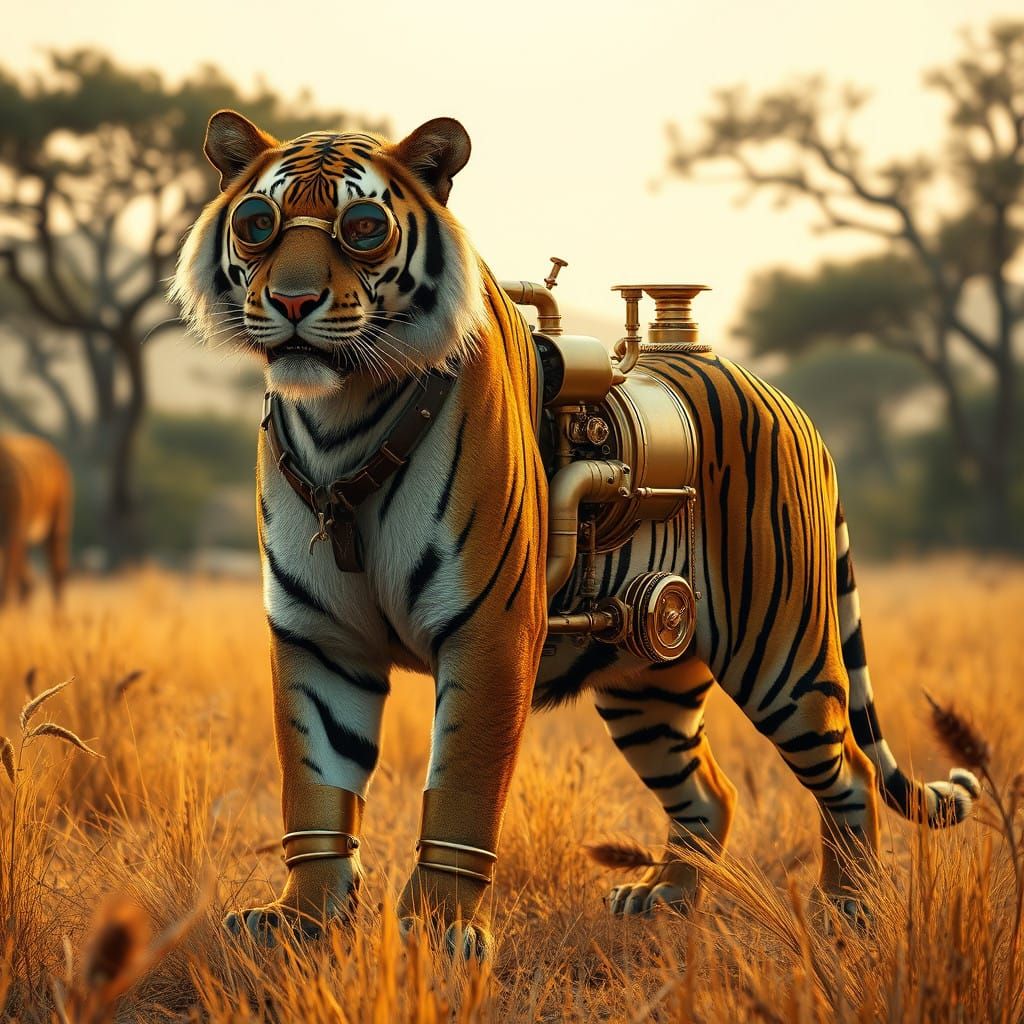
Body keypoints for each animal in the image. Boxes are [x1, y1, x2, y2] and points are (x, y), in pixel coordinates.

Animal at [172, 110, 979, 955]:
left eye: (362, 228)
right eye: (257, 224)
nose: (292, 301)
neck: (338, 417)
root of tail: (792, 408)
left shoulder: (489, 629)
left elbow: (460, 788)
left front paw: (440, 932)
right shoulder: (317, 633)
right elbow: (315, 780)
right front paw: (299, 919)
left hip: (782, 652)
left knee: (849, 769)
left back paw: (848, 911)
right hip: (648, 674)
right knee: (709, 791)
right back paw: (663, 897)